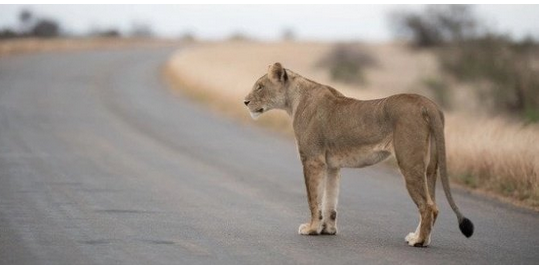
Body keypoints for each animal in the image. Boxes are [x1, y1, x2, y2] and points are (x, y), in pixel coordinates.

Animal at [244, 62, 472, 245]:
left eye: (260, 87)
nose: (245, 102)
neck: (294, 100)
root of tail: (428, 104)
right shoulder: (332, 165)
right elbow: (330, 200)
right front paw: (327, 230)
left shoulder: (312, 159)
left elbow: (313, 198)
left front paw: (311, 228)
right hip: (430, 168)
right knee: (434, 205)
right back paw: (420, 237)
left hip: (409, 163)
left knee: (428, 206)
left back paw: (418, 241)